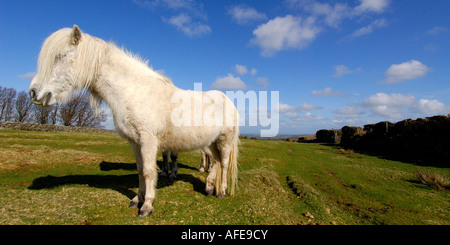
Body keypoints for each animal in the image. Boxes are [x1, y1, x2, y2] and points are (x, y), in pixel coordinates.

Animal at [29, 24, 239, 216]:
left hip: (224, 140)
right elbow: (140, 170)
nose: (34, 93)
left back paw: (221, 192)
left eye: (61, 56)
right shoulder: (134, 141)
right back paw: (209, 188)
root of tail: (228, 100)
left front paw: (147, 206)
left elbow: (148, 171)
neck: (134, 91)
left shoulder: (148, 140)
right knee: (216, 162)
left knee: (224, 163)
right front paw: (137, 200)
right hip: (210, 143)